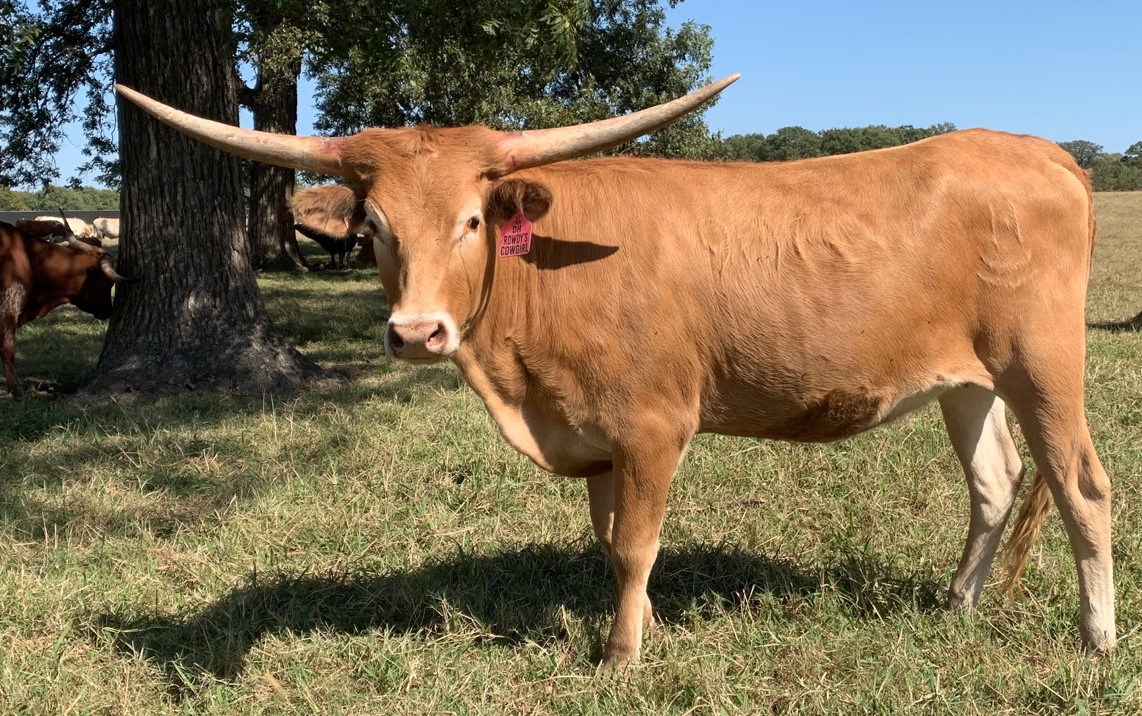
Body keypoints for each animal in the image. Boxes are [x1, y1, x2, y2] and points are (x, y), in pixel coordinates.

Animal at [1, 218, 138, 397]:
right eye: (107, 283)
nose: (109, 310)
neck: (30, 258)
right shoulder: (9, 307)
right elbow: (8, 349)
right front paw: (15, 389)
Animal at [115, 77, 1116, 665]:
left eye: (472, 221)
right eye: (376, 229)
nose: (416, 332)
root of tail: (1041, 151)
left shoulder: (652, 426)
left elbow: (637, 542)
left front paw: (622, 658)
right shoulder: (596, 438)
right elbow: (611, 543)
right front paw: (648, 626)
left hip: (1041, 366)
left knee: (1082, 488)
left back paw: (1097, 640)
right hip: (967, 382)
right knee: (995, 484)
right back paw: (956, 609)